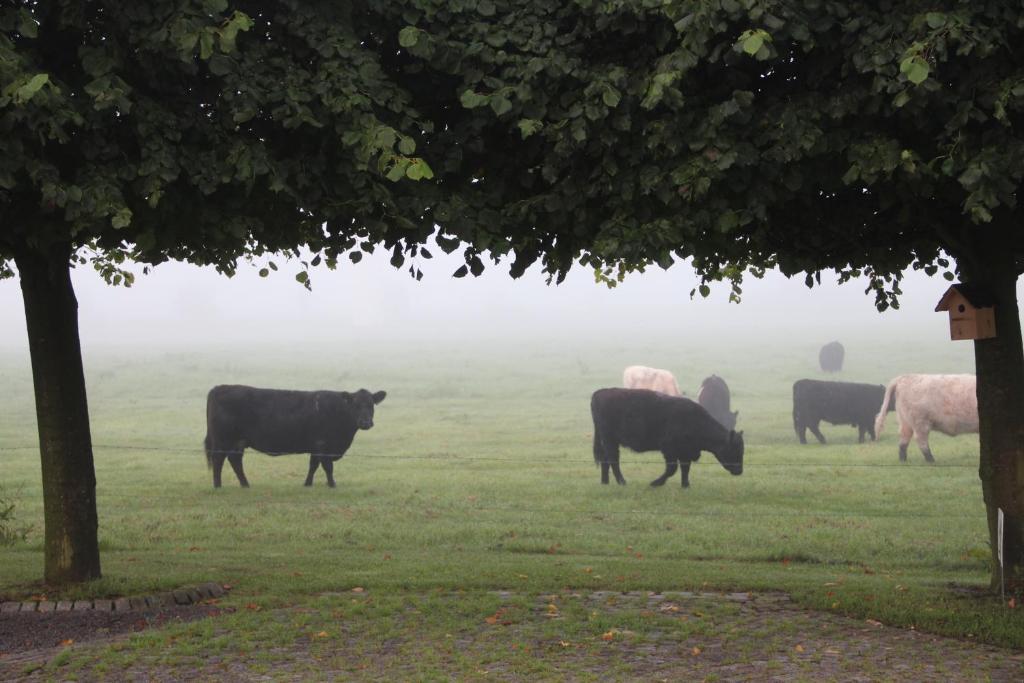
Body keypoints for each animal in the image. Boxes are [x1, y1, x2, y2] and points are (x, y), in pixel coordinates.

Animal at [202, 387, 385, 489]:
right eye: (356, 405)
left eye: (371, 405)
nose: (365, 422)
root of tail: (219, 388)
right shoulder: (323, 445)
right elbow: (327, 467)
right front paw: (332, 485)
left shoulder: (316, 447)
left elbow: (313, 465)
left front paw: (308, 484)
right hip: (222, 439)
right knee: (218, 460)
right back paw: (218, 486)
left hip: (237, 442)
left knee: (235, 461)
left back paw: (245, 485)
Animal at [593, 387, 745, 489]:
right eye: (734, 449)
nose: (739, 471)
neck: (694, 420)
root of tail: (600, 392)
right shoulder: (669, 450)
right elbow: (672, 469)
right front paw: (655, 483)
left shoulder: (686, 452)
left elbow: (685, 468)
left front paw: (686, 485)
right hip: (610, 440)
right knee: (613, 459)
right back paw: (622, 482)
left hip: (608, 441)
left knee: (605, 459)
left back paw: (605, 482)